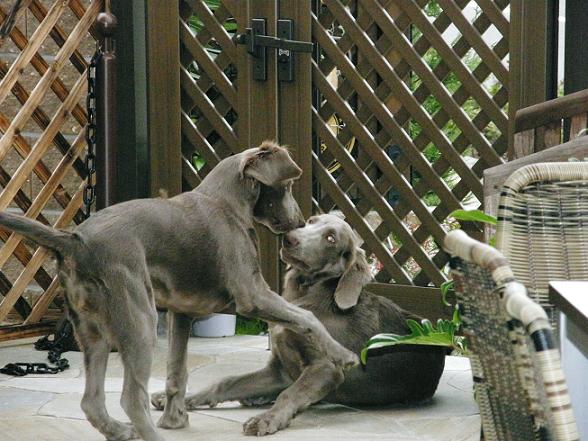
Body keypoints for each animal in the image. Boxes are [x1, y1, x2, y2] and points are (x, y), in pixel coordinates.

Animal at [0, 144, 358, 440]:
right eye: (288, 185)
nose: (297, 223)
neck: (226, 201)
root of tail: (74, 240)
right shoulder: (252, 293)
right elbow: (307, 316)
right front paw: (344, 355)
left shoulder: (181, 311)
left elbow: (177, 371)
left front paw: (174, 419)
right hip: (139, 320)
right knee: (131, 398)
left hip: (93, 330)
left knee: (91, 401)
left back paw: (120, 431)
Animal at [154, 213, 444, 434]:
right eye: (311, 221)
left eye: (331, 238)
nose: (289, 238)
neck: (302, 297)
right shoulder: (278, 369)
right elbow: (225, 382)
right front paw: (184, 400)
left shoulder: (327, 368)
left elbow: (290, 394)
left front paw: (266, 420)